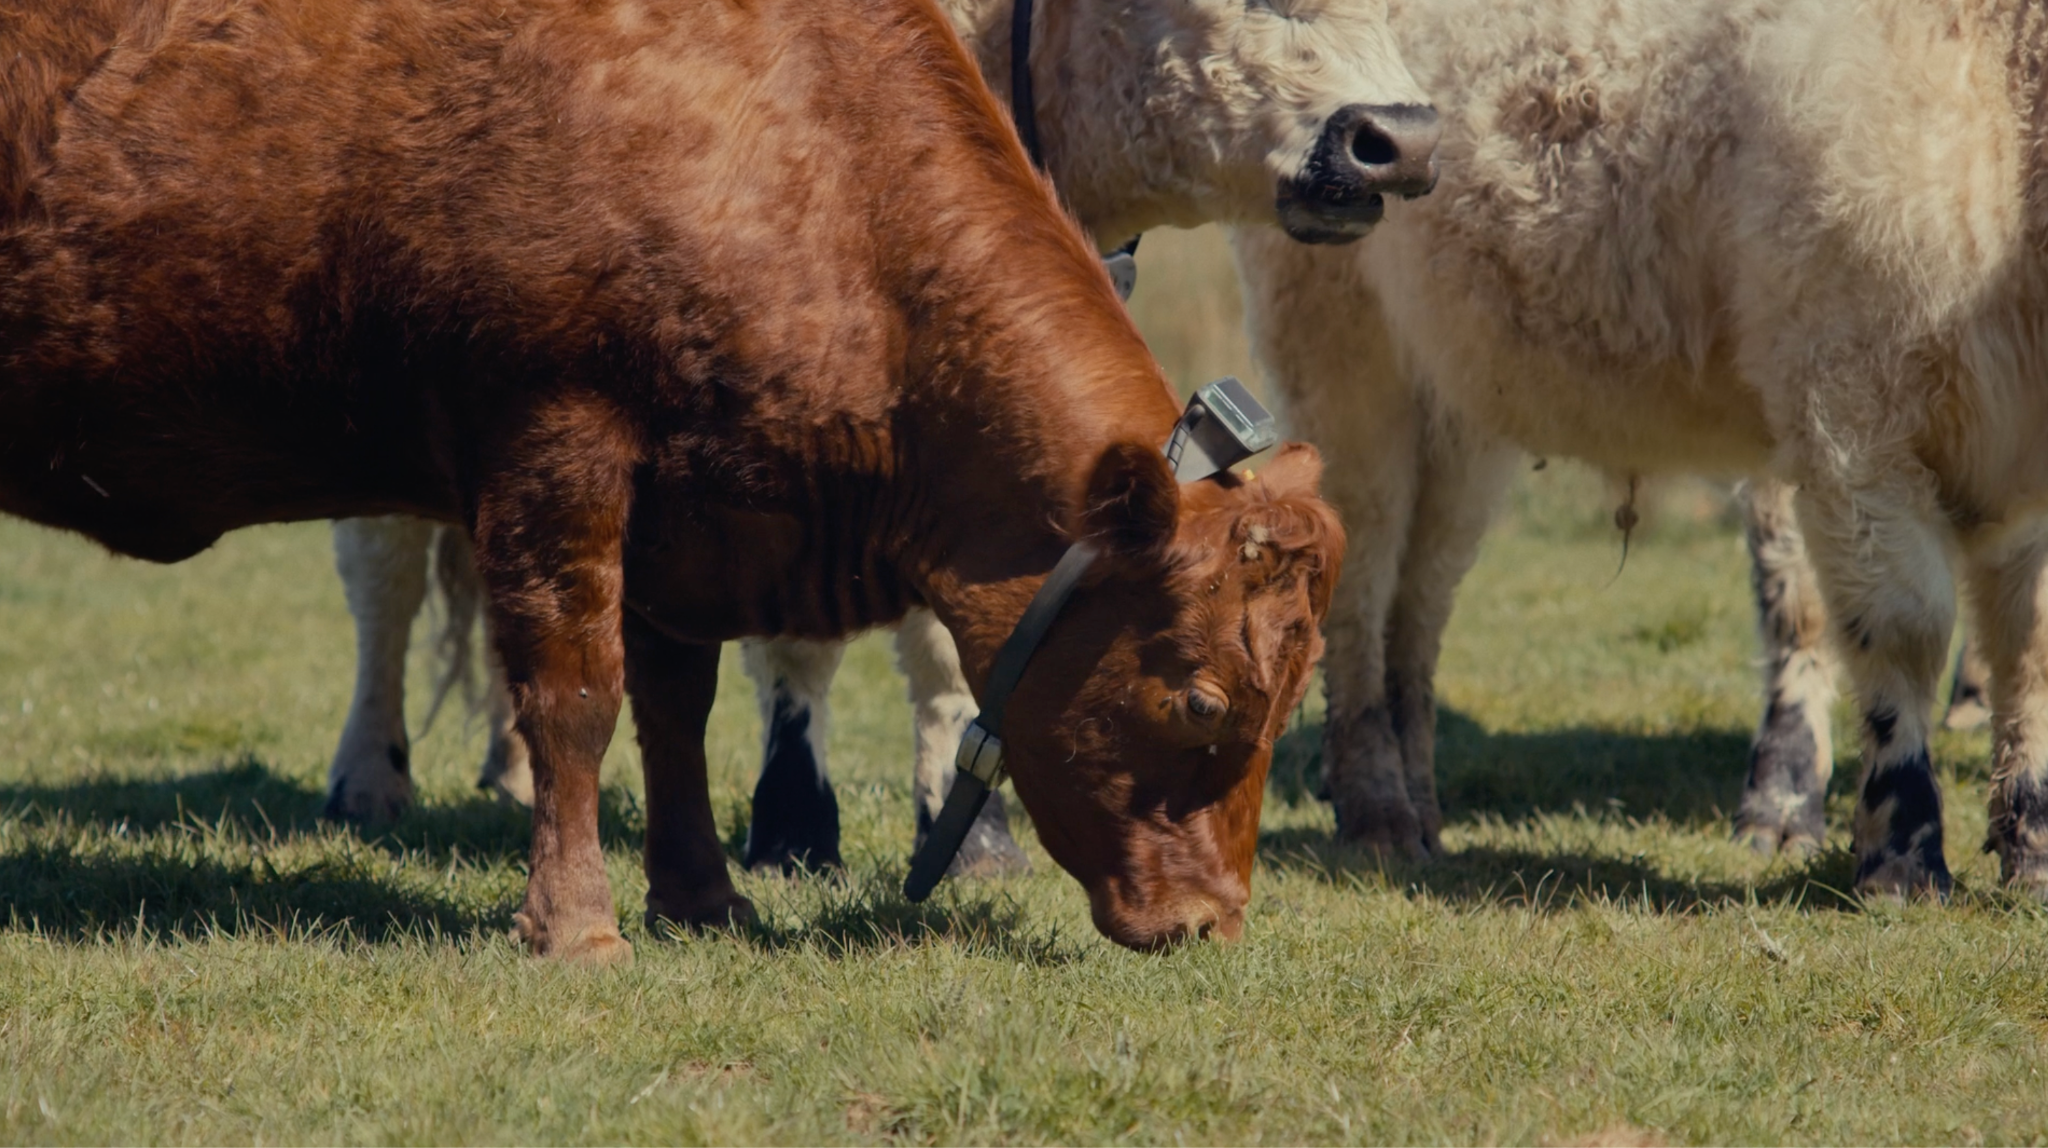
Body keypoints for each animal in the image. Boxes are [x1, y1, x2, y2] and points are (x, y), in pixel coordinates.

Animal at [1231, 0, 2048, 901]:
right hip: (1342, 356)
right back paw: (1377, 816)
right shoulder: (1849, 421)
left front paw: (2033, 848)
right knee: (1361, 587)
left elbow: (2028, 646)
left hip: (1455, 411)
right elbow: (1901, 628)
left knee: (1419, 601)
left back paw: (1421, 814)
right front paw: (1901, 862)